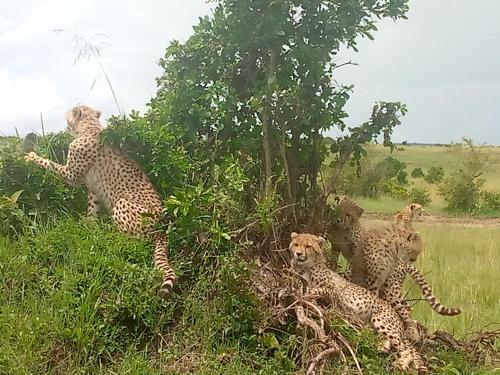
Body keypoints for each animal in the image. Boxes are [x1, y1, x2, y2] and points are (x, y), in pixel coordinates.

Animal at [24, 105, 176, 296]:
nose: (66, 125)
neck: (90, 128)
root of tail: (163, 226)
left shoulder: (71, 175)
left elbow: (51, 165)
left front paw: (32, 157)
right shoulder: (95, 190)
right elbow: (92, 208)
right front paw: (90, 225)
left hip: (122, 205)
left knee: (135, 242)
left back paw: (111, 233)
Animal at [290, 234, 430, 374]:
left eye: (308, 246)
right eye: (296, 244)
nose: (298, 253)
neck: (307, 266)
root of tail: (399, 318)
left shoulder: (335, 290)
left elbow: (317, 289)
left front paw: (305, 293)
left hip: (380, 318)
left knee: (405, 348)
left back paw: (400, 363)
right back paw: (384, 346)